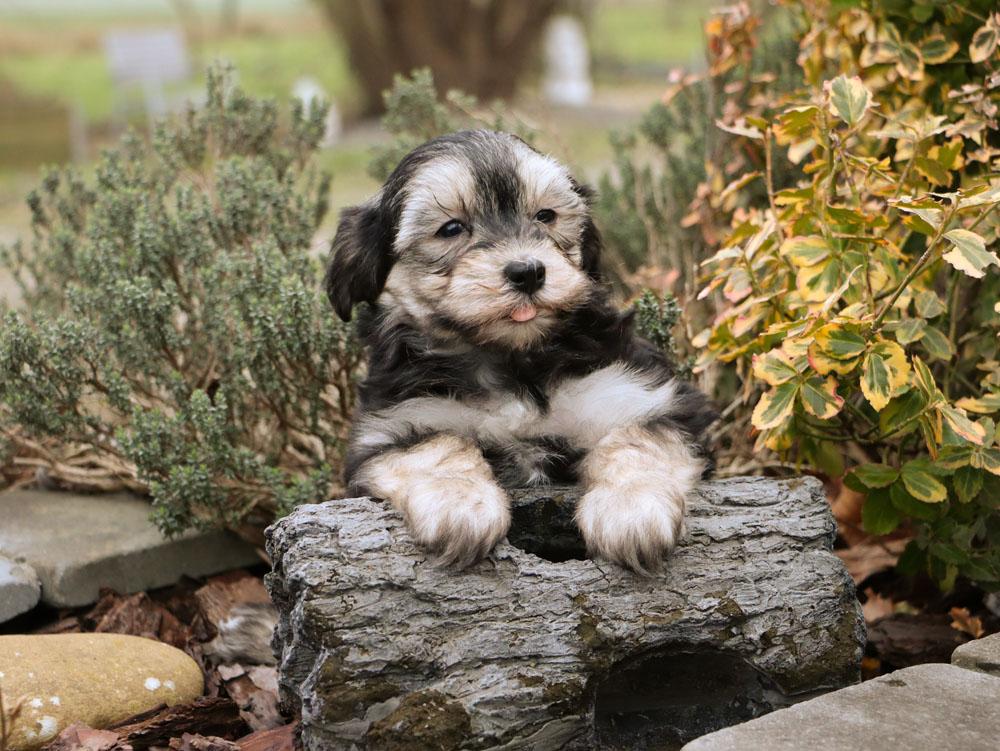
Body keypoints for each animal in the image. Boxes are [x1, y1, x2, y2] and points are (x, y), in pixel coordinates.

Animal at [325, 130, 716, 573]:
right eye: (451, 228)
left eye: (545, 216)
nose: (528, 271)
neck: (513, 358)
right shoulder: (394, 423)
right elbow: (433, 447)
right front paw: (459, 505)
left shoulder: (639, 394)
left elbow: (636, 439)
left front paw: (632, 509)